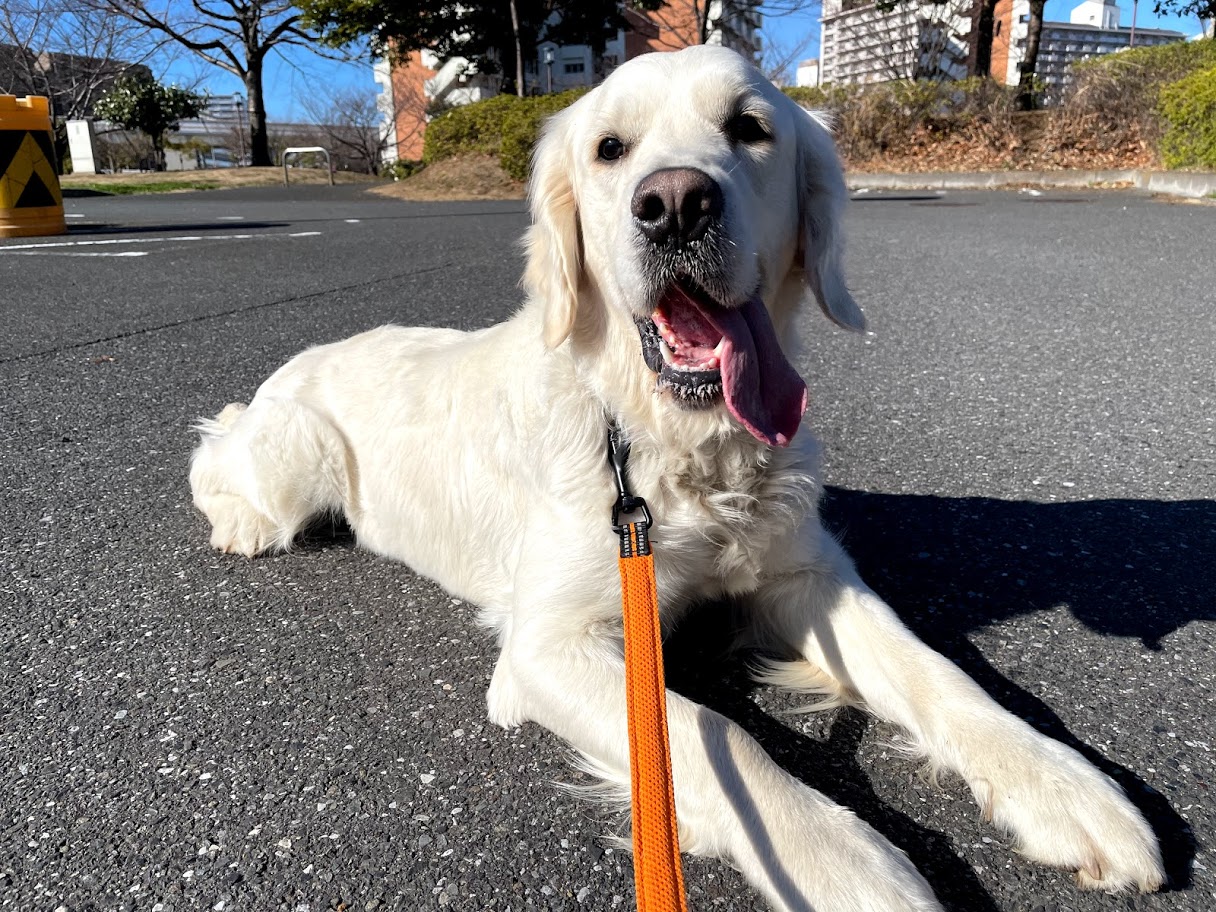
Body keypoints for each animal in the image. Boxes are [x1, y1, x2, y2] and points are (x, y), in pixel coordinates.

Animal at [187, 46, 1157, 912]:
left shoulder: (806, 575)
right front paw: (838, 858)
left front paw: (1062, 785)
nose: (676, 204)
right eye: (610, 148)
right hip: (293, 455)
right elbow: (708, 734)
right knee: (214, 445)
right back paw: (237, 520)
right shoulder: (545, 646)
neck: (679, 441)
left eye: (751, 129)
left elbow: (933, 668)